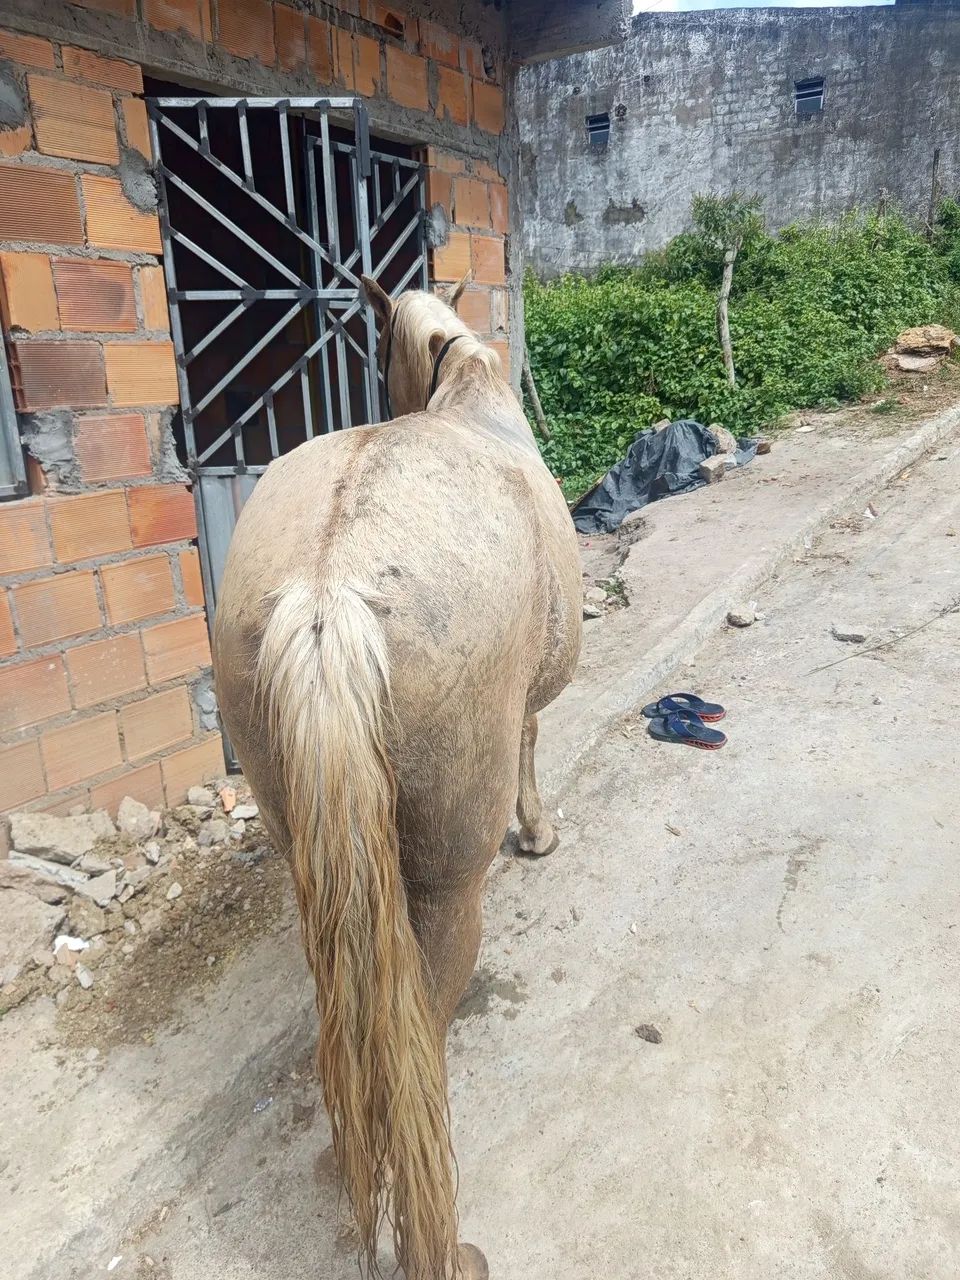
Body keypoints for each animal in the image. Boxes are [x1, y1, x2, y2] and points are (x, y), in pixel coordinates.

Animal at [212, 273, 582, 1278]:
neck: (471, 392)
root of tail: (330, 593)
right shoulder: (523, 707)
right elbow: (532, 735)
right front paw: (538, 832)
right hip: (447, 884)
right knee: (421, 1024)